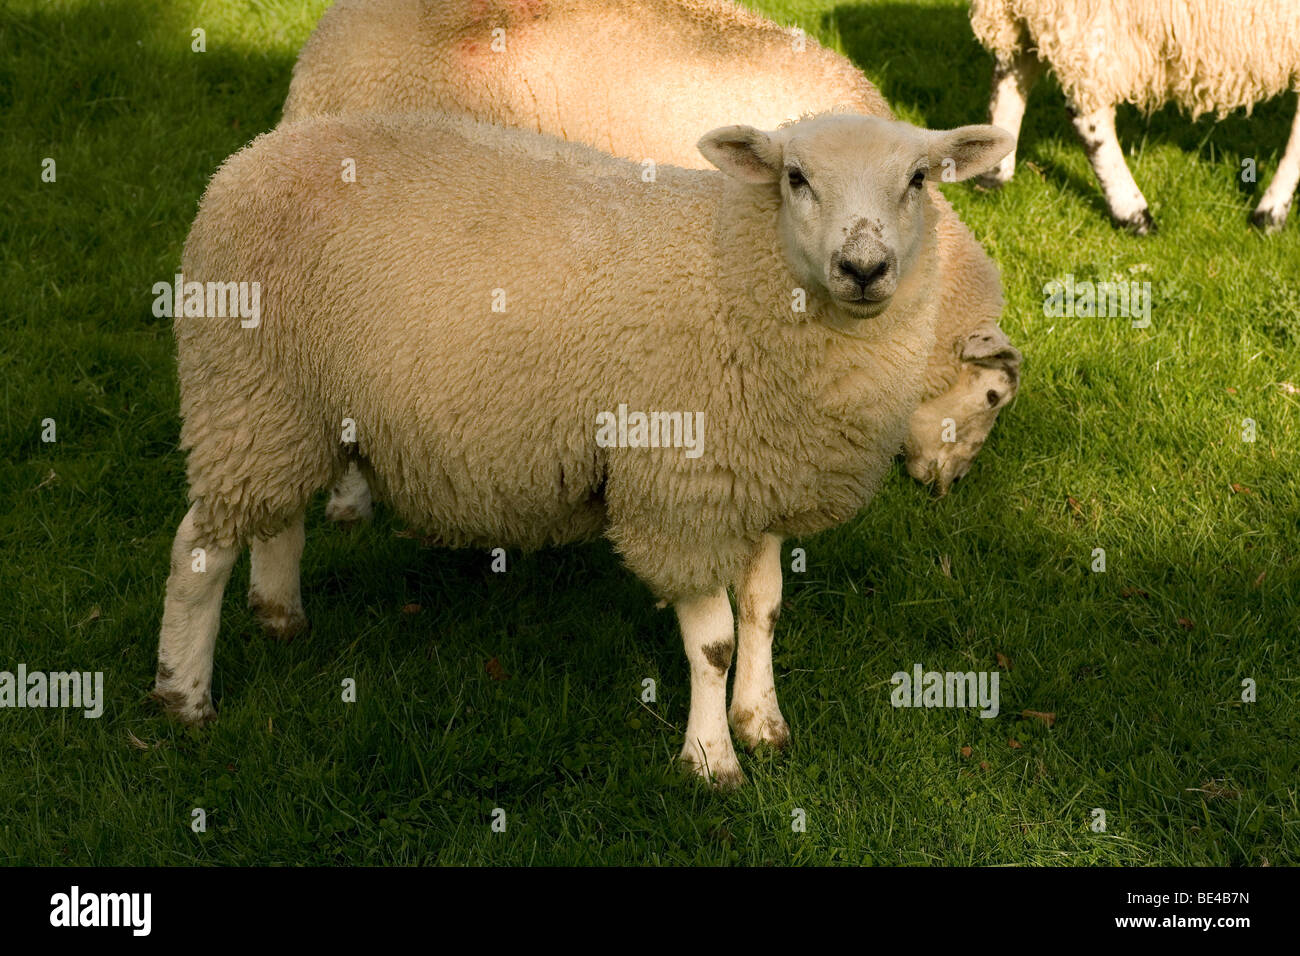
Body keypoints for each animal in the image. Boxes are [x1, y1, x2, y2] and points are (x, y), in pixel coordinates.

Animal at [156, 109, 1013, 786]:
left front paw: (762, 723)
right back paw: (184, 696)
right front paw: (711, 762)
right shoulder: (678, 493)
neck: (730, 267)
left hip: (290, 407)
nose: (864, 268)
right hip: (243, 383)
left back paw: (279, 615)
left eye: (917, 180)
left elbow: (765, 610)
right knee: (199, 550)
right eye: (796, 178)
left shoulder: (759, 481)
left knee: (277, 514)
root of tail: (253, 155)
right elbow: (714, 642)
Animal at [970, 0, 1300, 234]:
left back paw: (994, 174)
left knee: (1010, 72)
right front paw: (1270, 215)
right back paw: (1133, 214)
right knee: (1087, 114)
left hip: (1023, 15)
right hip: (1088, 20)